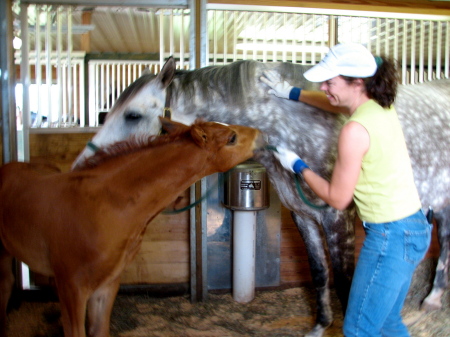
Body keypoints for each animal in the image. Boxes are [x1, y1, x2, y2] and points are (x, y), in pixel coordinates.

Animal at [74, 58, 450, 336]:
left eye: (133, 115)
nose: (81, 166)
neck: (293, 123)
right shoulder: (303, 215)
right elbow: (319, 273)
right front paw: (320, 326)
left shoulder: (337, 217)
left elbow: (345, 283)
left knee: (443, 241)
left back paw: (432, 300)